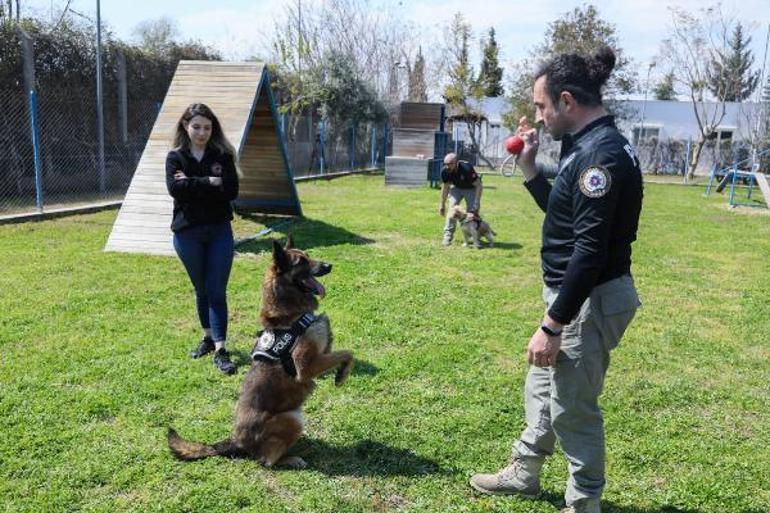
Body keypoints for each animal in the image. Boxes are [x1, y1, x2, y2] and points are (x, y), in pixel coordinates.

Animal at [168, 236, 354, 468]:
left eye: (308, 255)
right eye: (301, 262)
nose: (329, 266)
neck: (290, 312)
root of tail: (236, 441)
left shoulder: (323, 351)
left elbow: (341, 353)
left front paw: (341, 372)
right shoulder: (306, 367)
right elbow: (347, 352)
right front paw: (342, 375)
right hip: (292, 419)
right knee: (266, 460)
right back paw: (291, 458)